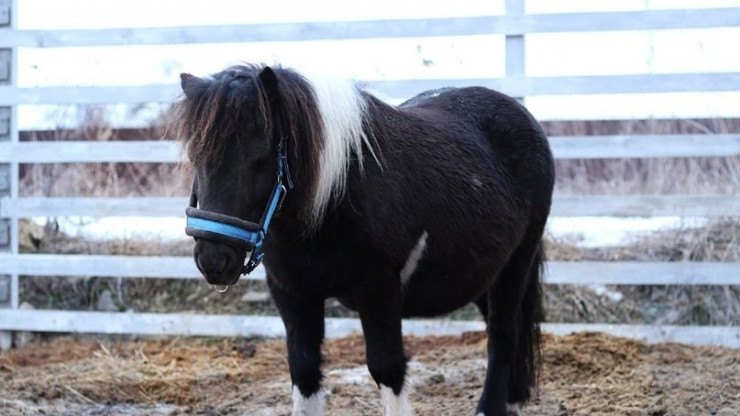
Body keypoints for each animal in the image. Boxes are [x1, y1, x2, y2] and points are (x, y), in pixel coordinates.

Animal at [173, 62, 552, 416]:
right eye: (195, 156)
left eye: (260, 157)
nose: (214, 259)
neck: (333, 198)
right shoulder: (292, 294)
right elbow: (304, 369)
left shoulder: (379, 291)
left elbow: (387, 368)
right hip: (482, 272)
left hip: (515, 265)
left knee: (502, 334)